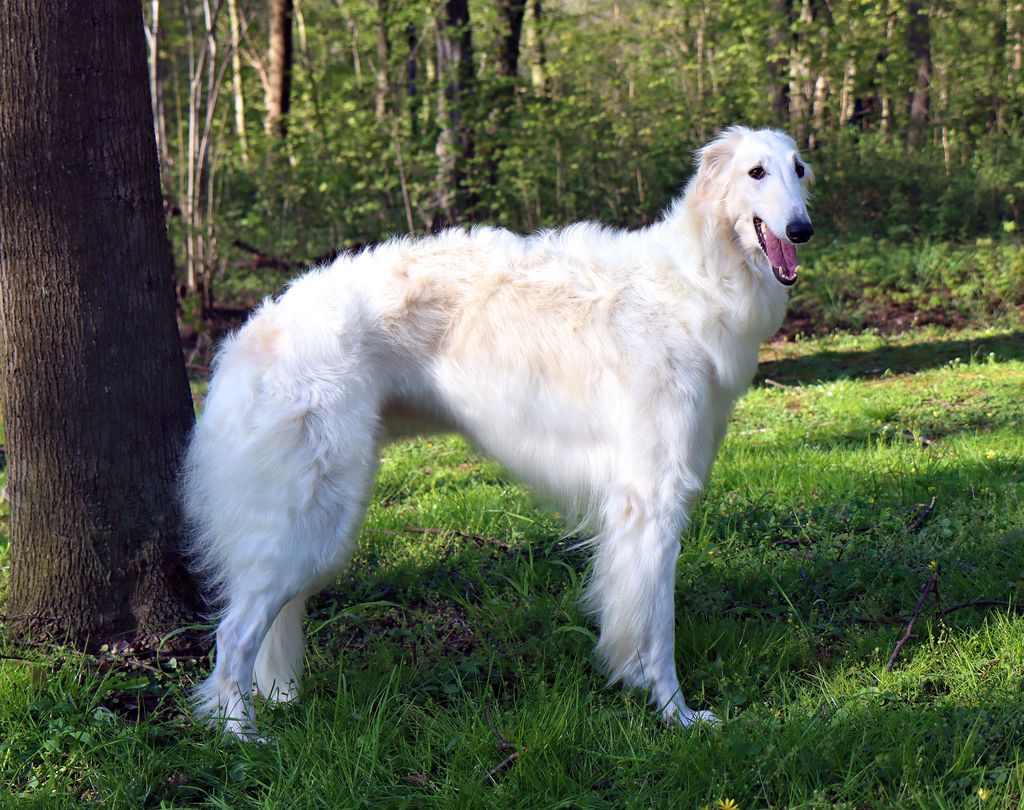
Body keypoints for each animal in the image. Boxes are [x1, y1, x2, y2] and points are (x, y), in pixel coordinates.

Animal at [178, 124, 815, 733]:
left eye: (799, 168)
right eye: (755, 171)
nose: (802, 228)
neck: (695, 284)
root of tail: (246, 338)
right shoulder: (653, 498)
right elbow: (656, 631)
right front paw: (677, 716)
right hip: (312, 516)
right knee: (231, 636)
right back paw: (242, 735)